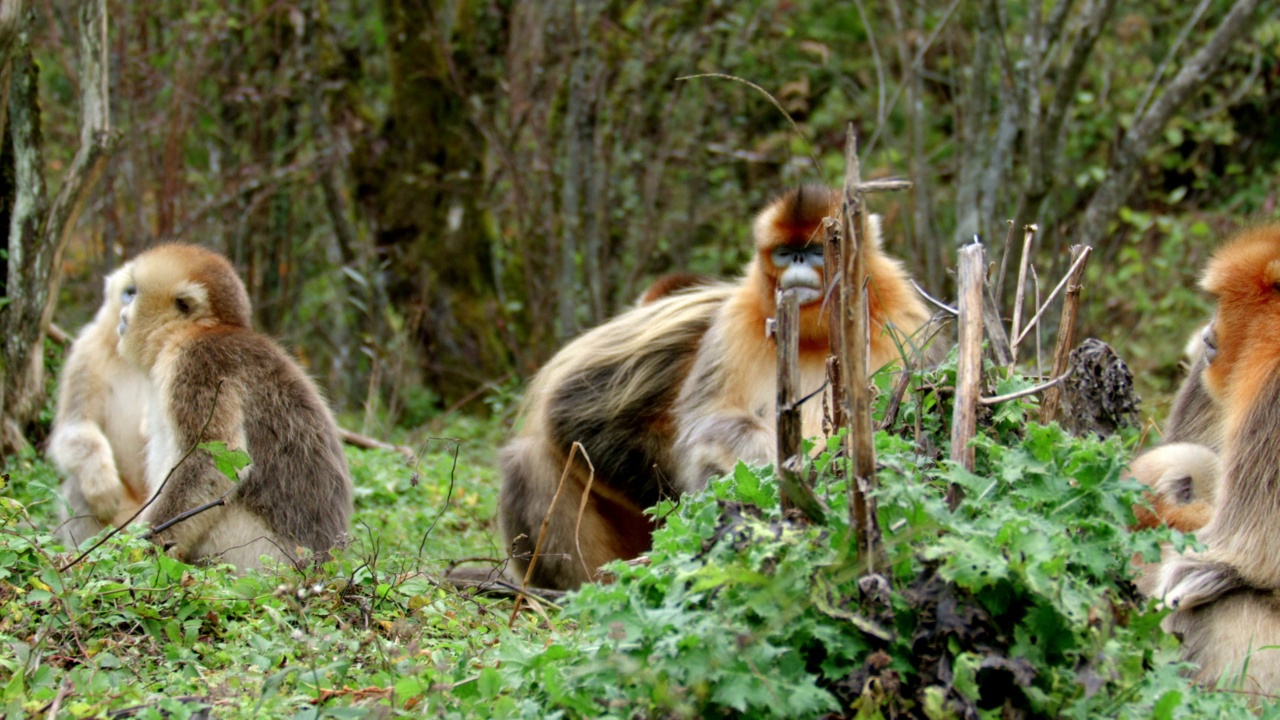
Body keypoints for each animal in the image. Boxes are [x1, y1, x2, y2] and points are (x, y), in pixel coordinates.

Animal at [118, 243, 353, 568]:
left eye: (132, 293)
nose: (120, 314)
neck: (199, 330)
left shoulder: (198, 362)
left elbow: (211, 462)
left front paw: (135, 550)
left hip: (261, 553)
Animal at [504, 183, 936, 584]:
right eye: (785, 252)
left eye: (815, 251)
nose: (798, 261)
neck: (815, 338)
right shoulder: (722, 321)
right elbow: (574, 412)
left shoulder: (906, 325)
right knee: (527, 459)